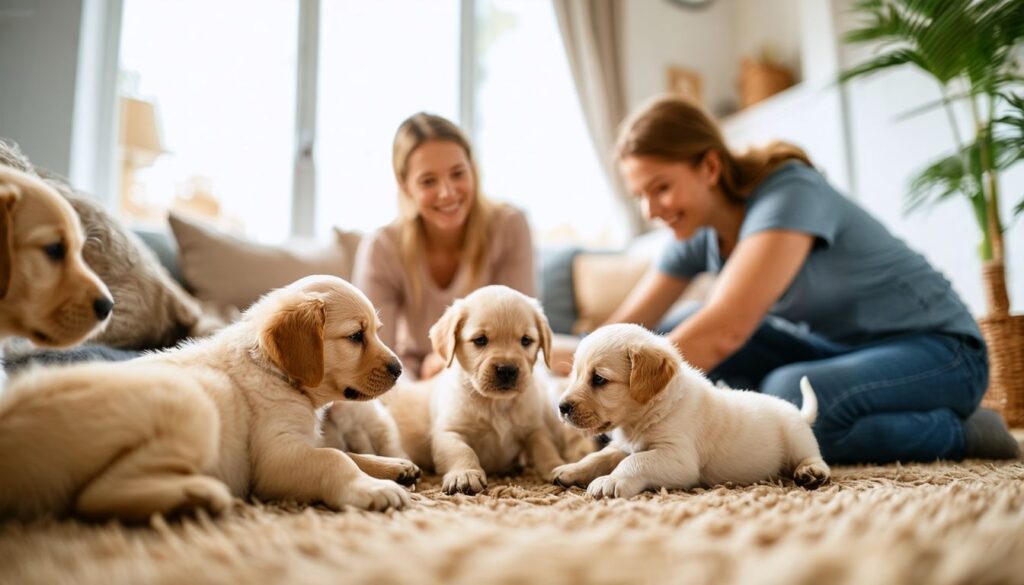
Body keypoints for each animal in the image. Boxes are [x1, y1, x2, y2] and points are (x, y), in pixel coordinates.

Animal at [1, 276, 415, 522]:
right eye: (356, 336)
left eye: (376, 331)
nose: (399, 370)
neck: (274, 370)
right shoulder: (275, 458)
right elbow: (333, 458)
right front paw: (372, 488)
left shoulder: (303, 441)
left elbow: (347, 452)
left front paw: (392, 466)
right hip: (193, 402)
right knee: (94, 497)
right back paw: (202, 494)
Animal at [552, 325, 831, 499]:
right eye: (575, 374)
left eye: (599, 379)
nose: (561, 407)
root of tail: (798, 412)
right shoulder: (623, 445)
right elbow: (599, 457)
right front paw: (570, 470)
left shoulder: (678, 457)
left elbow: (635, 461)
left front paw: (609, 481)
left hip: (796, 437)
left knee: (813, 457)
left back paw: (811, 472)